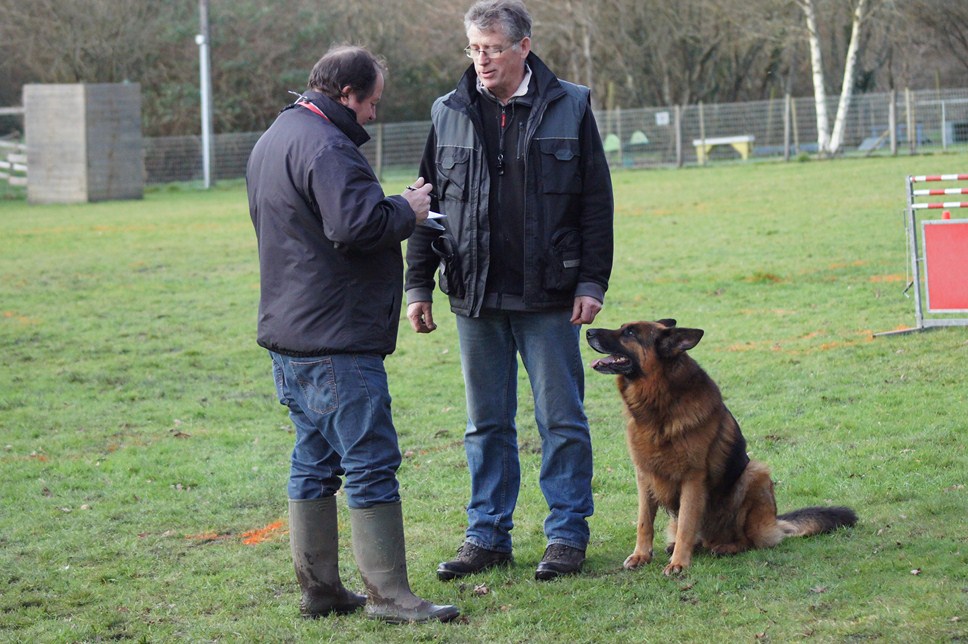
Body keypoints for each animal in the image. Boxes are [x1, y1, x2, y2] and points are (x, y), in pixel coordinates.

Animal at [584, 320, 856, 576]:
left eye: (629, 333)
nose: (588, 331)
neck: (659, 401)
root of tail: (776, 524)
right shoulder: (644, 476)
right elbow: (644, 522)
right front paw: (641, 555)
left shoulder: (692, 479)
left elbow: (686, 524)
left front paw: (679, 564)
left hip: (755, 474)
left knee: (747, 540)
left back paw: (726, 547)